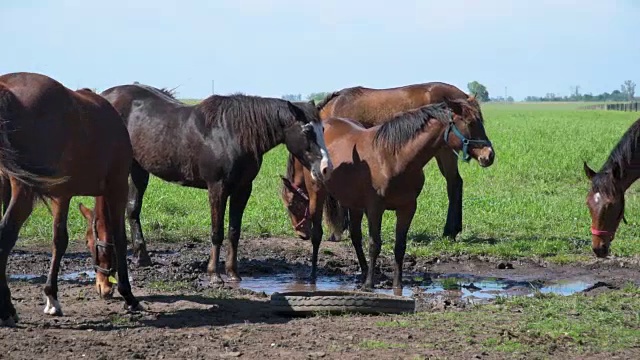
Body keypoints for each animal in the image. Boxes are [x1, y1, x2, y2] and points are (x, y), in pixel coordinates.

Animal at [0, 72, 139, 326]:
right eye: (88, 243)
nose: (104, 288)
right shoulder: (117, 188)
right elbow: (120, 239)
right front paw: (129, 295)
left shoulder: (61, 196)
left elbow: (59, 240)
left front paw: (51, 297)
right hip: (24, 190)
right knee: (6, 236)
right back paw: (6, 309)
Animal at [99, 83, 336, 284]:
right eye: (307, 131)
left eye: (323, 130)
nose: (326, 168)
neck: (232, 134)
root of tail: (104, 96)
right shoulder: (217, 187)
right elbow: (217, 231)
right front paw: (214, 274)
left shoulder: (243, 189)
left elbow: (234, 231)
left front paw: (233, 272)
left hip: (138, 168)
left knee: (132, 210)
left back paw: (143, 258)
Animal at [280, 82, 496, 242]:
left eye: (291, 205)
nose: (301, 235)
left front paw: (341, 230)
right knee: (455, 184)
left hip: (445, 152)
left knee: (453, 184)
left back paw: (449, 230)